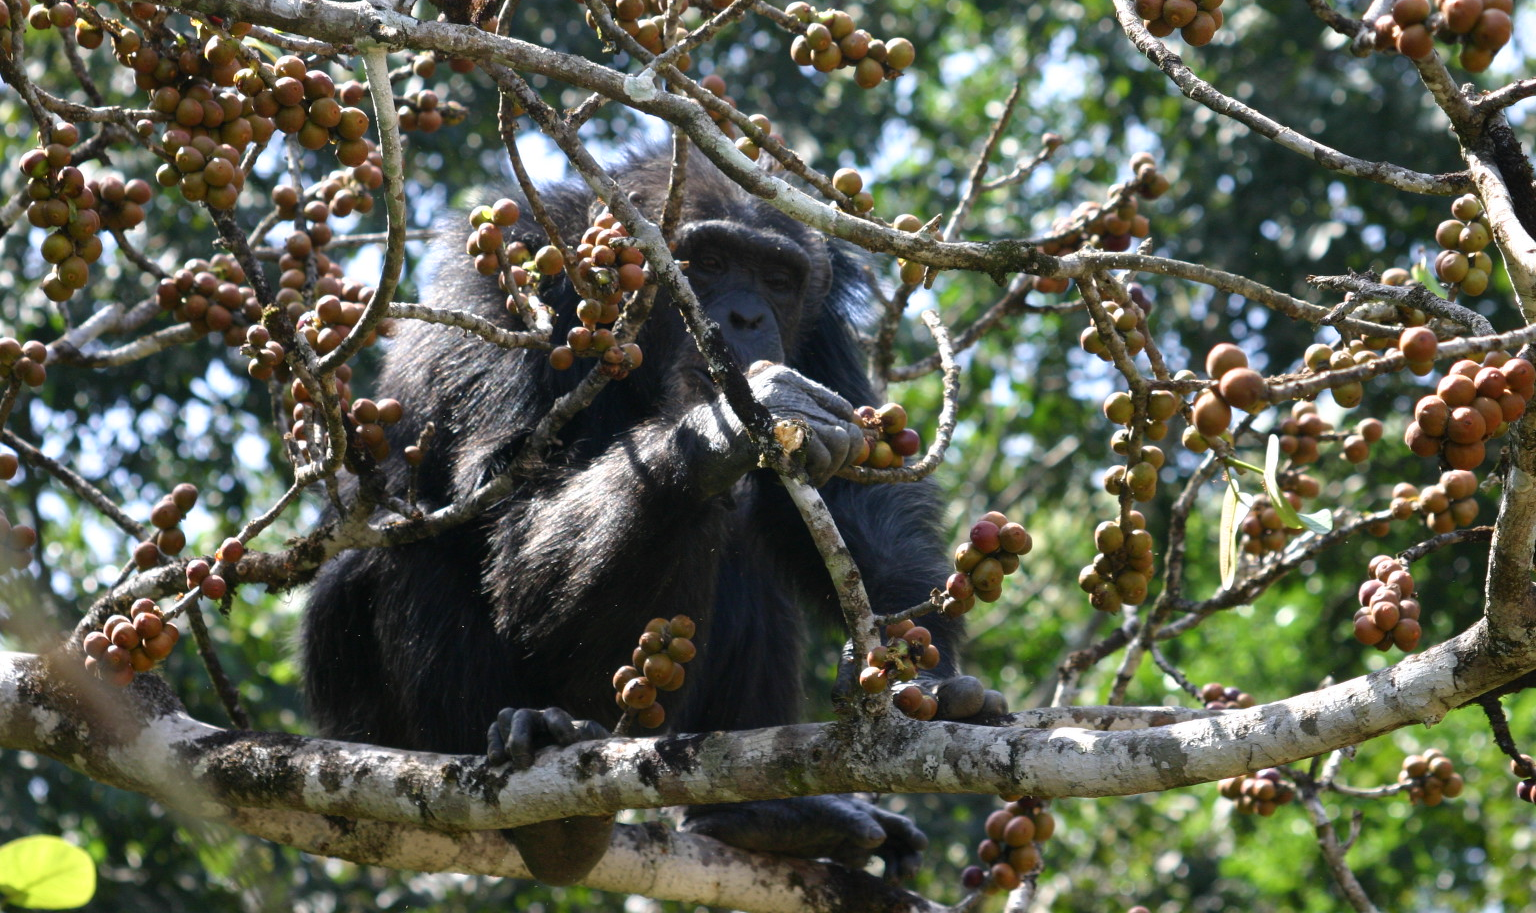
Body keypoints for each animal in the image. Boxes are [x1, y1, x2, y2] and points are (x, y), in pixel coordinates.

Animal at [302, 152, 995, 885]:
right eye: (709, 263)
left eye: (778, 279)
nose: (746, 315)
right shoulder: (496, 296)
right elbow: (504, 503)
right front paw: (725, 428)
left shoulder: (826, 331)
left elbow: (856, 500)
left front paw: (917, 675)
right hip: (371, 728)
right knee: (416, 546)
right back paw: (527, 764)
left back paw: (770, 818)